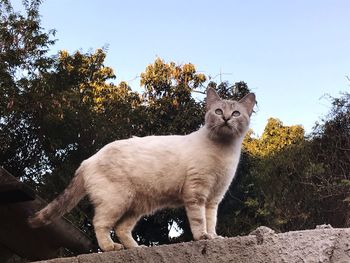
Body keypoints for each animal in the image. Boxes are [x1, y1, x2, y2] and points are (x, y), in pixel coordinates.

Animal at [28, 88, 256, 252]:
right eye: (218, 111)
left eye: (236, 113)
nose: (226, 118)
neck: (224, 151)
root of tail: (88, 160)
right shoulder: (197, 193)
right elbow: (200, 221)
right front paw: (203, 237)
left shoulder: (214, 198)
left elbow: (211, 220)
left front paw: (215, 237)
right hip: (116, 201)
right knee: (100, 223)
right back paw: (111, 247)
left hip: (136, 206)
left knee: (121, 228)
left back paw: (136, 248)